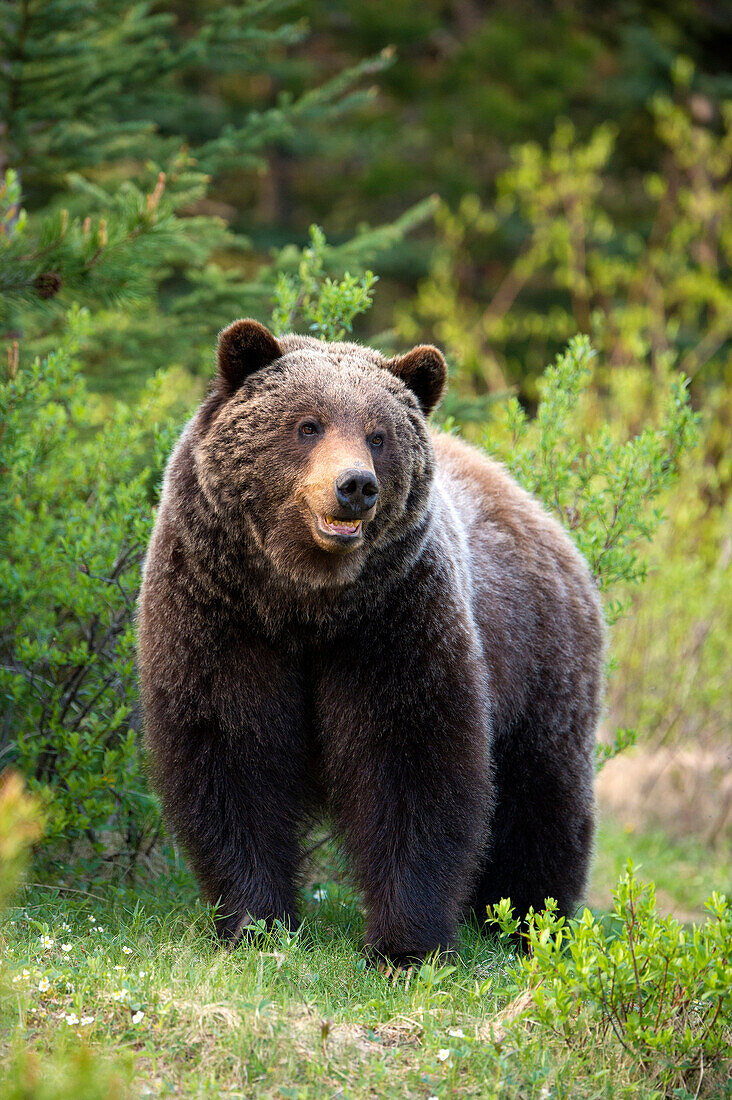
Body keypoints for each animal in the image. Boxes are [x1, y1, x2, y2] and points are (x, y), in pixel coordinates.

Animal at [137, 319, 603, 963]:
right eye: (307, 424)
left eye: (378, 435)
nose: (355, 485)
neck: (304, 605)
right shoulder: (221, 617)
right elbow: (232, 758)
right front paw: (256, 921)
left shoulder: (392, 624)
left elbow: (411, 766)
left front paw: (407, 945)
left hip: (538, 663)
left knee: (542, 799)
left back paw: (530, 920)